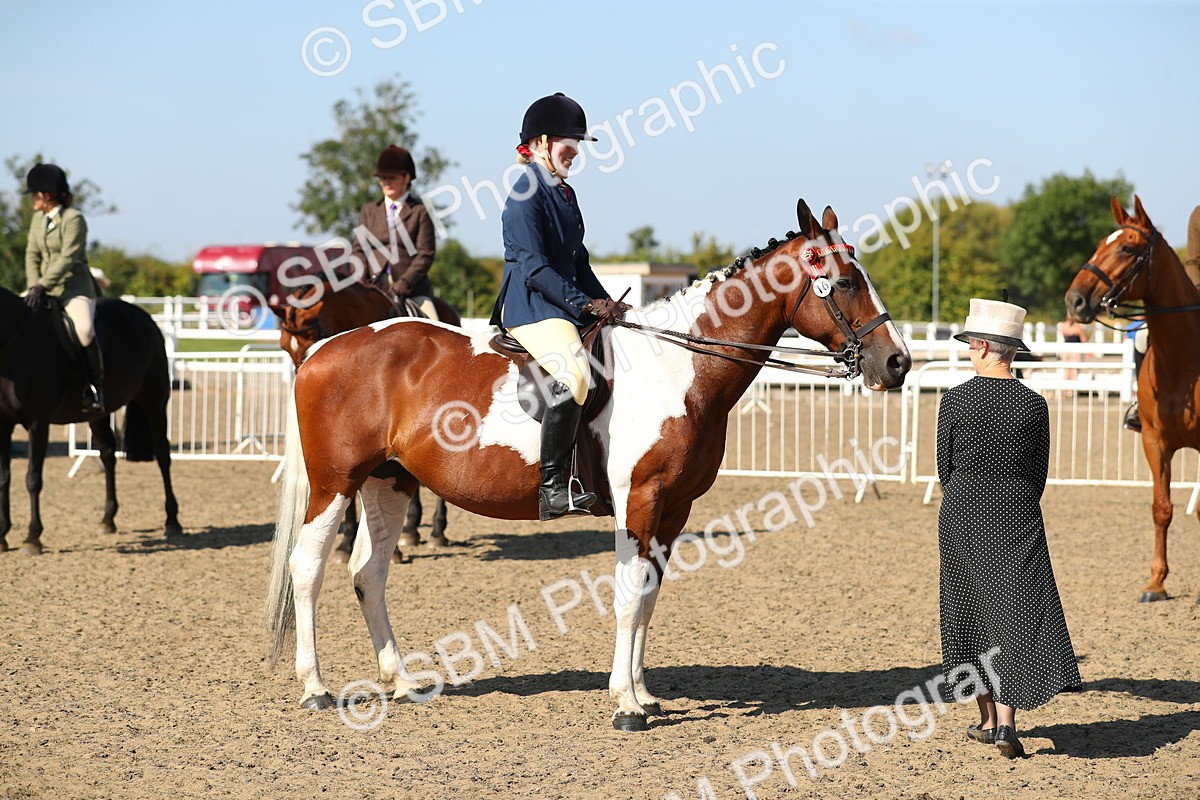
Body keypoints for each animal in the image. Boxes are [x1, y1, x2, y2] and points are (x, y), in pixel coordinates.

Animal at [0, 287, 180, 554]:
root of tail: (142, 315)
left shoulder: (37, 424)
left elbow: (32, 479)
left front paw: (32, 538)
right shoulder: (3, 424)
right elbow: (4, 478)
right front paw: (2, 535)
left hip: (154, 403)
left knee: (162, 455)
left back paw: (173, 521)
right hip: (98, 414)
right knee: (107, 454)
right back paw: (108, 519)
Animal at [270, 279, 459, 557]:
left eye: (313, 337)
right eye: (284, 346)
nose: (303, 382)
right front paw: (347, 541)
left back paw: (436, 531)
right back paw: (411, 529)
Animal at [1066, 195, 1200, 603]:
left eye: (1127, 248)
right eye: (1099, 244)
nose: (1074, 301)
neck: (1183, 358)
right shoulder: (1155, 442)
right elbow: (1161, 508)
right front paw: (1155, 583)